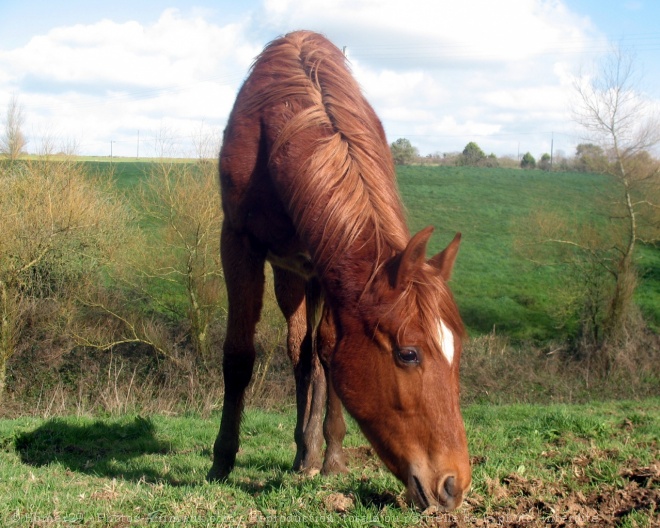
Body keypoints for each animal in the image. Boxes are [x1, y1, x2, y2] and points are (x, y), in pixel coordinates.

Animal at [209, 31, 472, 510]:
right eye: (409, 354)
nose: (453, 485)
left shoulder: (332, 269)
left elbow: (332, 351)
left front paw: (331, 455)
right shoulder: (237, 243)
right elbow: (239, 355)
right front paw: (222, 460)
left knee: (313, 354)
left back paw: (310, 451)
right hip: (290, 276)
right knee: (300, 353)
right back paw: (300, 450)